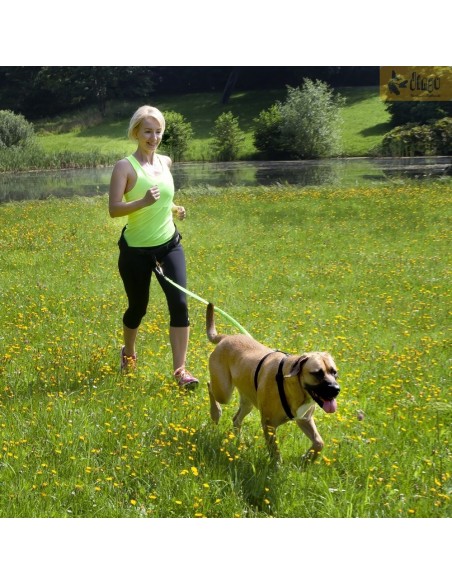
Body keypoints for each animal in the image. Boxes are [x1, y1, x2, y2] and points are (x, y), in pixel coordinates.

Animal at [205, 304, 340, 464]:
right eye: (317, 373)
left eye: (334, 372)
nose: (336, 389)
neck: (293, 385)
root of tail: (226, 337)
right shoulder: (269, 424)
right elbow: (275, 452)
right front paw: (277, 466)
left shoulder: (304, 419)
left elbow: (319, 442)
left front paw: (307, 458)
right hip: (224, 391)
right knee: (210, 386)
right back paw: (215, 413)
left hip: (248, 399)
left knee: (236, 419)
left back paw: (239, 441)